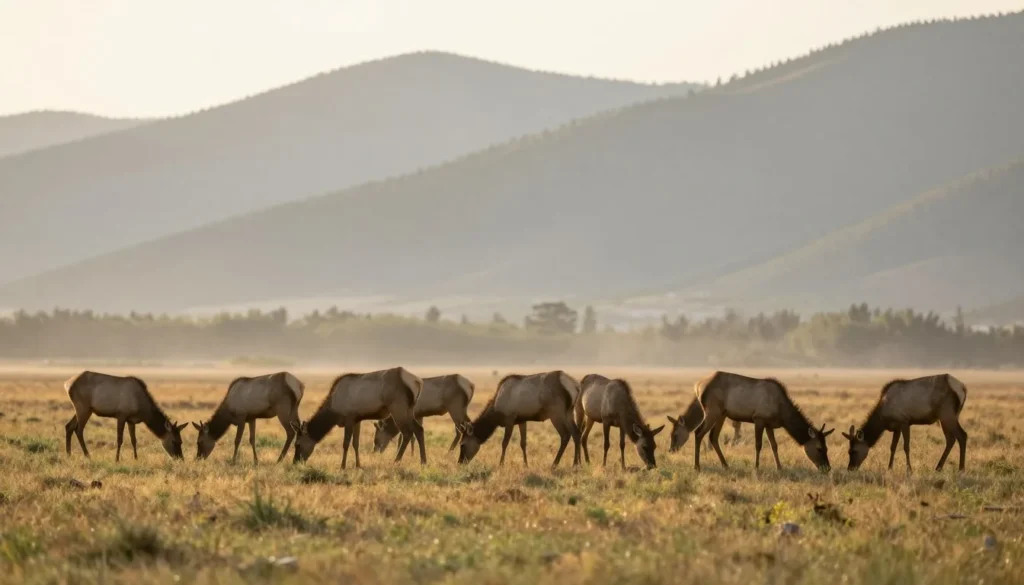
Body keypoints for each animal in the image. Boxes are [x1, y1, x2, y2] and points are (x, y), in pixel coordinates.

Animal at [292, 367, 425, 469]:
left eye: (297, 444)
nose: (295, 462)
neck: (333, 412)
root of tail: (417, 382)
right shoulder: (357, 419)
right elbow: (356, 443)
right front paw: (358, 465)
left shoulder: (349, 418)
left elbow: (346, 443)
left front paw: (342, 466)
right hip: (410, 409)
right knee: (419, 429)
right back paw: (423, 461)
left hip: (398, 407)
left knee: (407, 433)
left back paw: (396, 461)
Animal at [691, 371, 833, 471]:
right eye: (819, 448)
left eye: (827, 447)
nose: (827, 468)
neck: (782, 413)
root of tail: (697, 386)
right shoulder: (759, 418)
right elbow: (758, 445)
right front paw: (757, 467)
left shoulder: (769, 424)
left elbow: (774, 445)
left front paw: (779, 467)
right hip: (712, 410)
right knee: (698, 432)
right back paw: (697, 466)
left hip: (722, 414)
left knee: (713, 436)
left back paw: (726, 465)